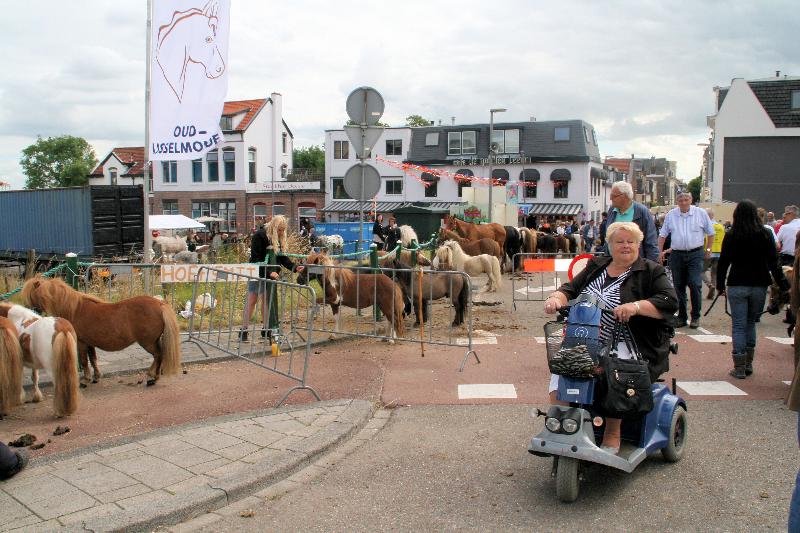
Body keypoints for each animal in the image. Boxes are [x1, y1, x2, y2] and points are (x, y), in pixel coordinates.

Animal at [21, 276, 181, 384]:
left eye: (31, 294)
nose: (28, 311)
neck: (74, 309)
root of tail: (160, 304)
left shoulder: (81, 343)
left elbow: (84, 361)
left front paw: (86, 378)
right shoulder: (89, 343)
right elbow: (93, 359)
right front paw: (96, 376)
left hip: (148, 342)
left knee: (158, 355)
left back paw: (153, 377)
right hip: (154, 341)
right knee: (159, 355)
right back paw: (153, 374)